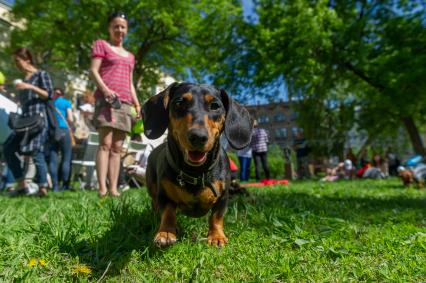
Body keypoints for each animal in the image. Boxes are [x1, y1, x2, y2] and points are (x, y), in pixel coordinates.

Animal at [142, 82, 253, 246]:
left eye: (215, 106)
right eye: (179, 103)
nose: (198, 137)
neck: (195, 171)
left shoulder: (223, 196)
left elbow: (216, 216)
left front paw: (216, 236)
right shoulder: (164, 195)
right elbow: (168, 213)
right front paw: (166, 232)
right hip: (152, 188)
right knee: (155, 204)